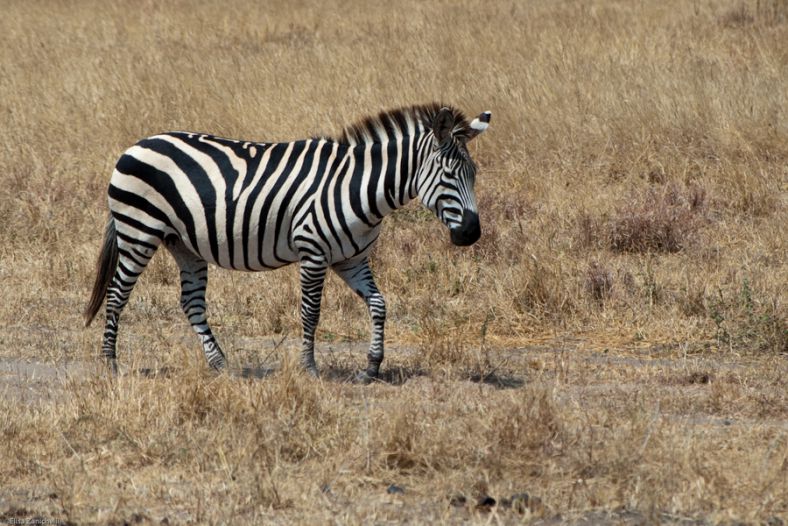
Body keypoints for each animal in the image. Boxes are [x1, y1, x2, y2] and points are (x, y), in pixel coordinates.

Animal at [84, 103, 491, 382]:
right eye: (450, 175)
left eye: (474, 174)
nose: (472, 234)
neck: (359, 188)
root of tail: (137, 145)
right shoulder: (313, 252)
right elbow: (311, 312)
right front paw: (309, 368)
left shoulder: (351, 259)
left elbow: (379, 304)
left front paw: (372, 366)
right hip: (138, 232)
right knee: (117, 294)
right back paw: (111, 363)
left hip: (182, 243)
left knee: (191, 303)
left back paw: (220, 363)